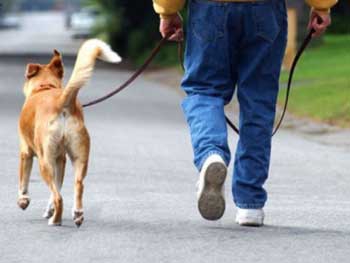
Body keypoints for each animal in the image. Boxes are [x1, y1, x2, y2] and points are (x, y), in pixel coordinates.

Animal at [17, 38, 121, 227]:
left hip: (45, 161)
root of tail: (61, 101)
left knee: (59, 197)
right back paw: (77, 213)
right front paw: (49, 209)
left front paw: (23, 200)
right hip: (79, 157)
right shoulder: (61, 159)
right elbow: (57, 187)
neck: (45, 87)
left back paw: (56, 220)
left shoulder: (26, 153)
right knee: (77, 185)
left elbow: (24, 181)